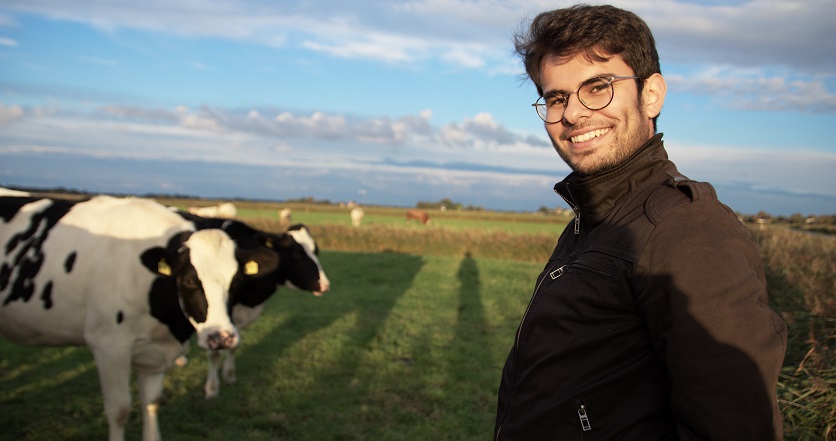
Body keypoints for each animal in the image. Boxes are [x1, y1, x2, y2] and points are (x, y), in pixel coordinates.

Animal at [0, 192, 280, 440]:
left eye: (238, 281)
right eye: (189, 280)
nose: (221, 338)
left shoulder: (155, 351)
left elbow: (152, 402)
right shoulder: (109, 346)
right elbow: (119, 411)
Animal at [178, 211, 332, 398]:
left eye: (316, 250)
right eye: (296, 254)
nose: (324, 285)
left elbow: (233, 347)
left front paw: (229, 376)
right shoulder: (211, 317)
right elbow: (214, 353)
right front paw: (212, 389)